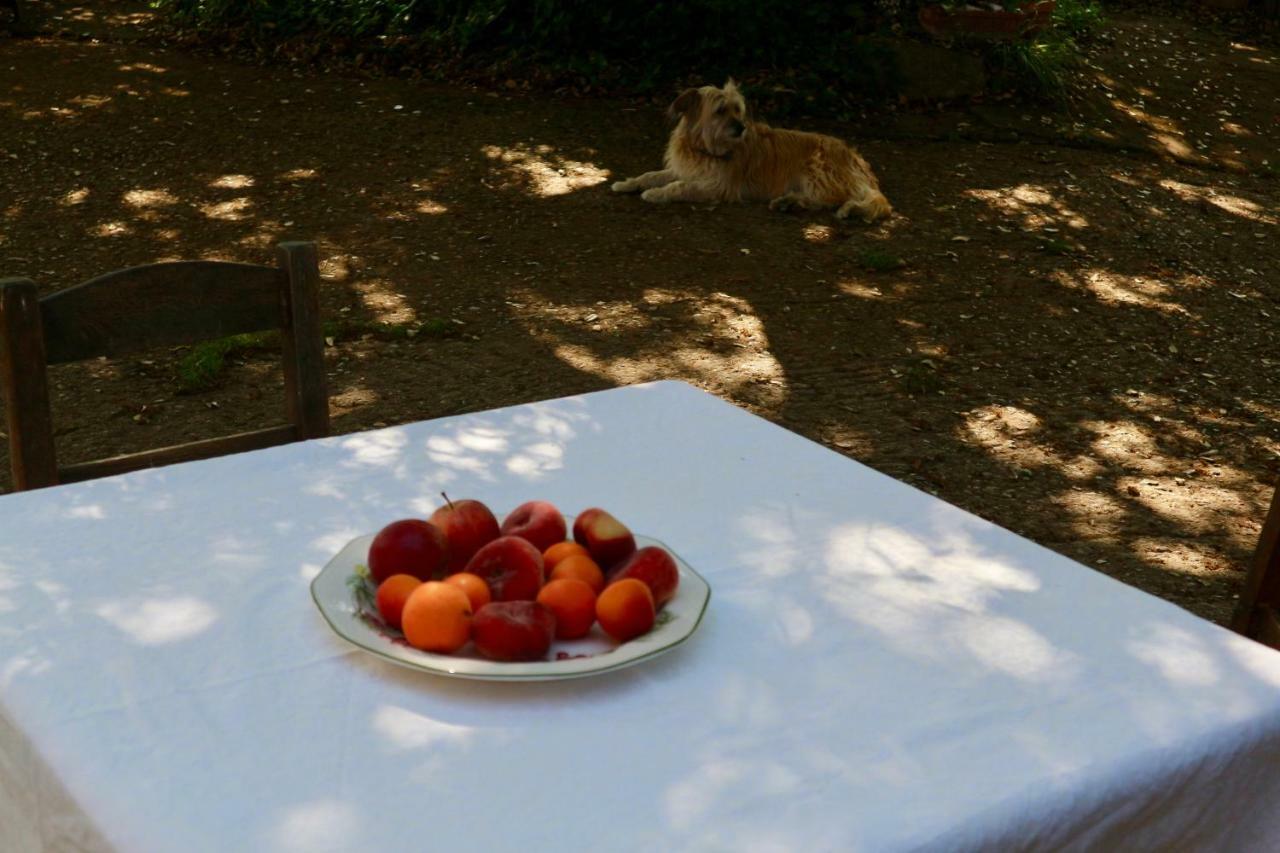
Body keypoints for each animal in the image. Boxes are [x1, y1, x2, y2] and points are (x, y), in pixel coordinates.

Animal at [609, 79, 890, 220]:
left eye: (737, 110)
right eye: (720, 110)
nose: (742, 127)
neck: (702, 148)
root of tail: (858, 161)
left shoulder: (717, 186)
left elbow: (678, 187)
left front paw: (656, 193)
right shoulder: (684, 169)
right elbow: (650, 175)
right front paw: (627, 183)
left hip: (818, 172)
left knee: (835, 199)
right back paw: (788, 203)